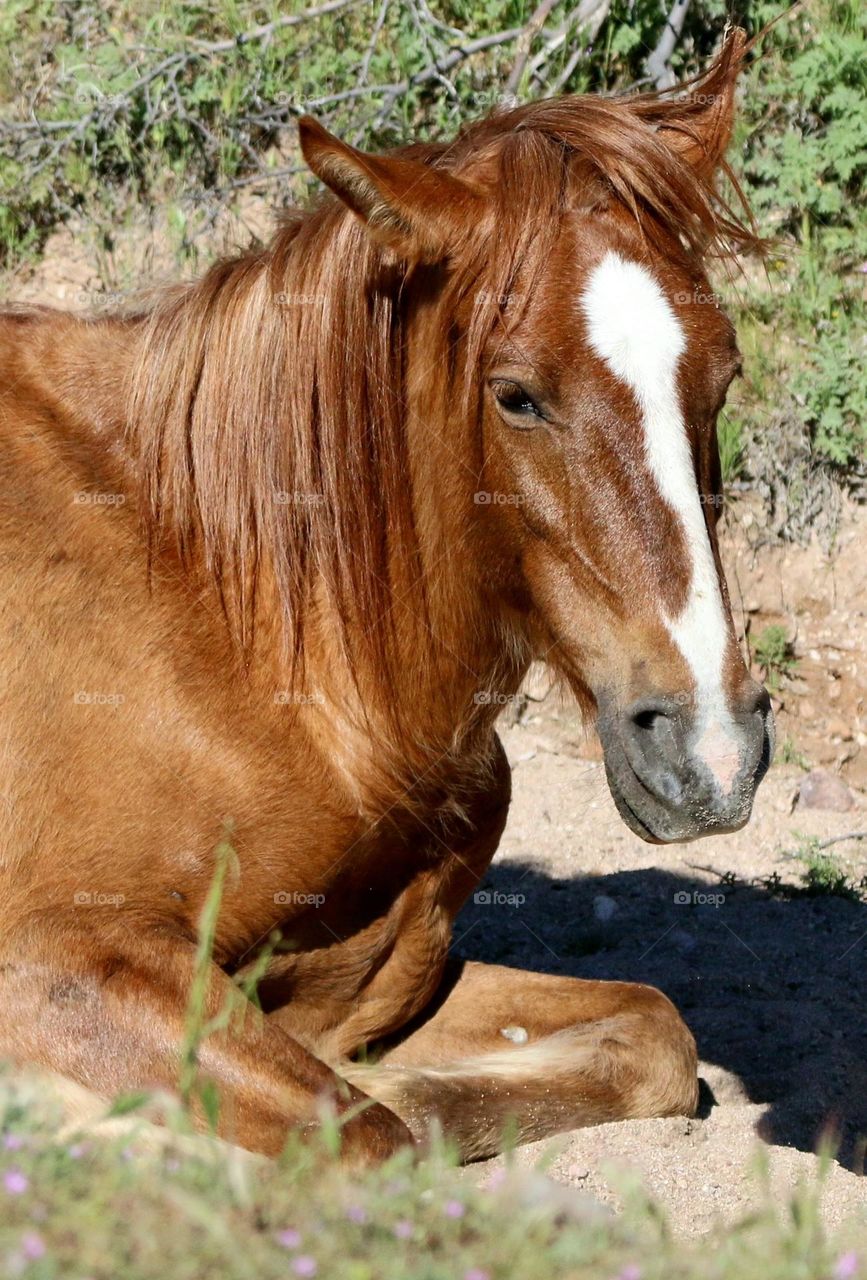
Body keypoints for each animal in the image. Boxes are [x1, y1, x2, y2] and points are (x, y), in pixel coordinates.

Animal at [0, 29, 773, 1164]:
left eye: (721, 374)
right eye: (515, 395)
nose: (712, 751)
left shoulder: (361, 987)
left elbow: (649, 1030)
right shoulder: (57, 953)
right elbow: (367, 1136)